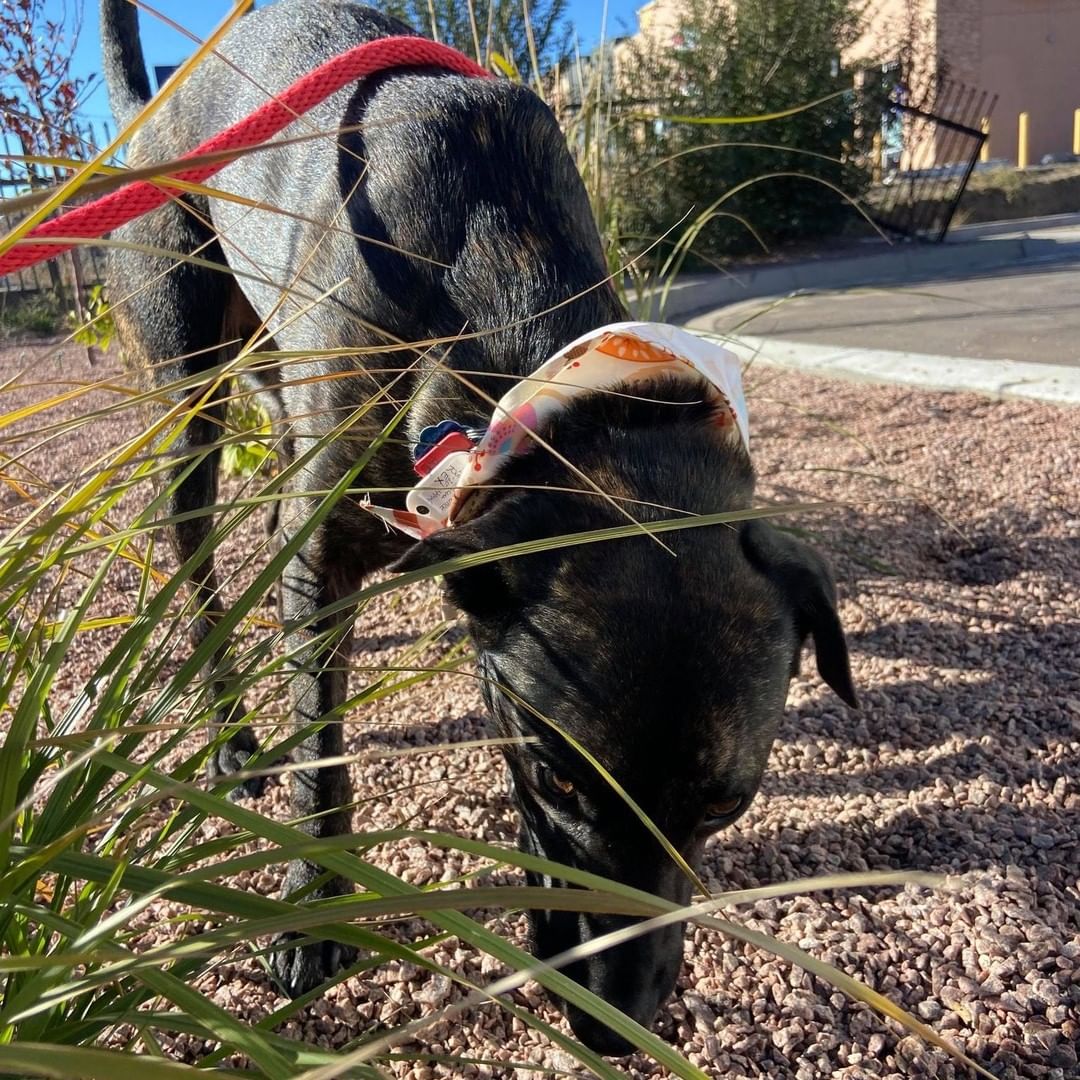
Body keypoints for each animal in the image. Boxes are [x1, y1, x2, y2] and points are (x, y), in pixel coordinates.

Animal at [103, 0, 851, 1049]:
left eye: (726, 805)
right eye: (556, 778)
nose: (616, 1026)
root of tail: (156, 105)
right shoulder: (324, 553)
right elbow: (323, 755)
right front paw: (312, 905)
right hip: (188, 394)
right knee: (200, 564)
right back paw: (233, 741)